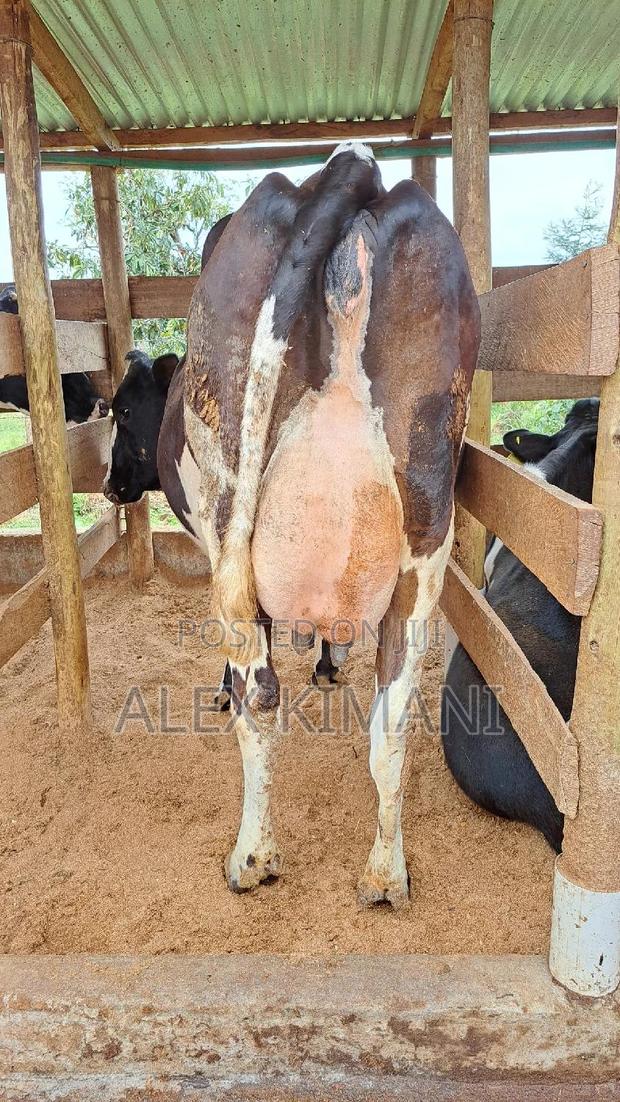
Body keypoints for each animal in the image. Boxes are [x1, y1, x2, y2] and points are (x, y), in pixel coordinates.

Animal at [177, 142, 479, 906]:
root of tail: (350, 167)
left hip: (228, 500)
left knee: (257, 697)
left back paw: (252, 858)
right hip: (426, 527)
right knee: (390, 717)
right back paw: (385, 875)